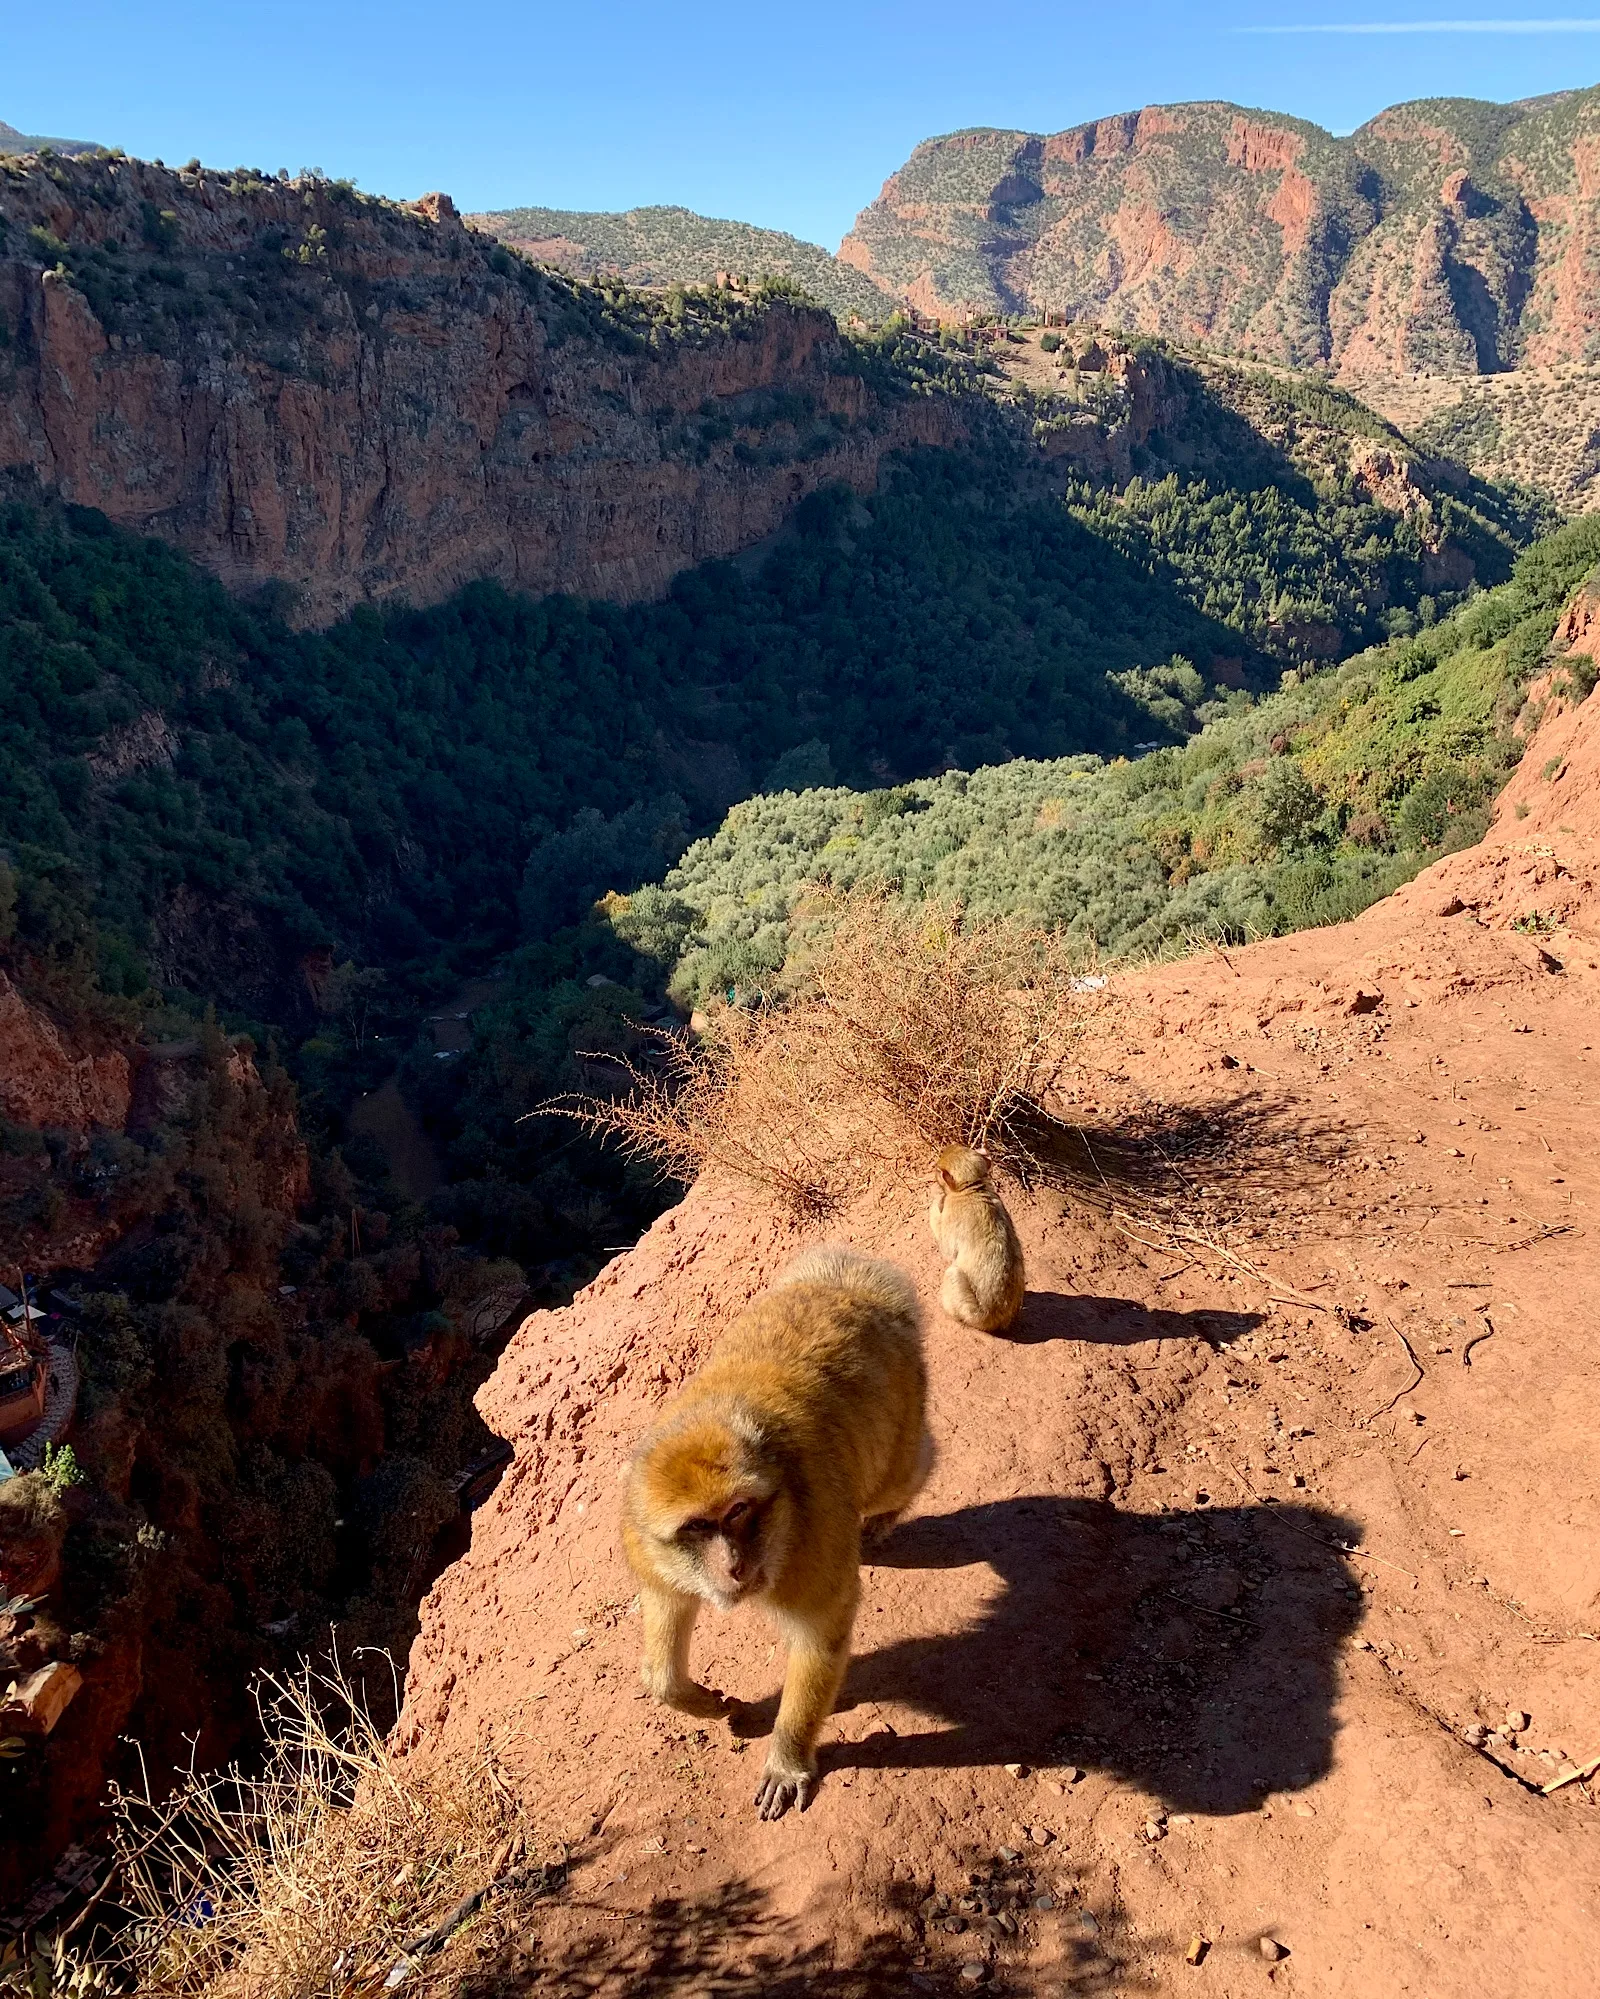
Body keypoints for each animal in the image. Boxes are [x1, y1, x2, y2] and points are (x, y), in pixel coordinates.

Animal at [622, 1246, 933, 1820]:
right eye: (698, 1526)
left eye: (738, 1511)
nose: (734, 1565)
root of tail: (856, 1289)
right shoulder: (647, 1543)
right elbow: (666, 1613)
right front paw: (694, 1699)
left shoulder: (815, 1539)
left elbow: (819, 1636)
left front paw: (788, 1757)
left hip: (903, 1401)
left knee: (901, 1477)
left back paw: (891, 1507)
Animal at [929, 1143, 1026, 1334]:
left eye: (937, 1170)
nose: (933, 1171)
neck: (972, 1189)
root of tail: (994, 1320)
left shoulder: (953, 1210)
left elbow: (948, 1251)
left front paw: (936, 1204)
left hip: (970, 1311)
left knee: (952, 1273)